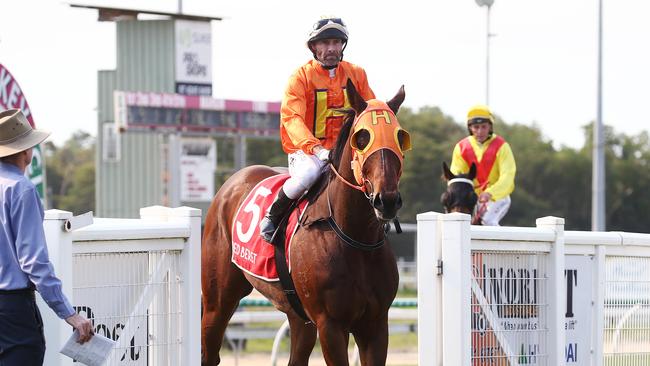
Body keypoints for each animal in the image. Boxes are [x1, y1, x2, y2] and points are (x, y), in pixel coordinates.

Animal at [200, 81, 408, 366]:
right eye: (362, 138)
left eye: (400, 138)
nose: (386, 200)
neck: (355, 238)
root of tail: (232, 182)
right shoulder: (330, 325)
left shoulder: (375, 325)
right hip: (217, 301)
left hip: (298, 317)